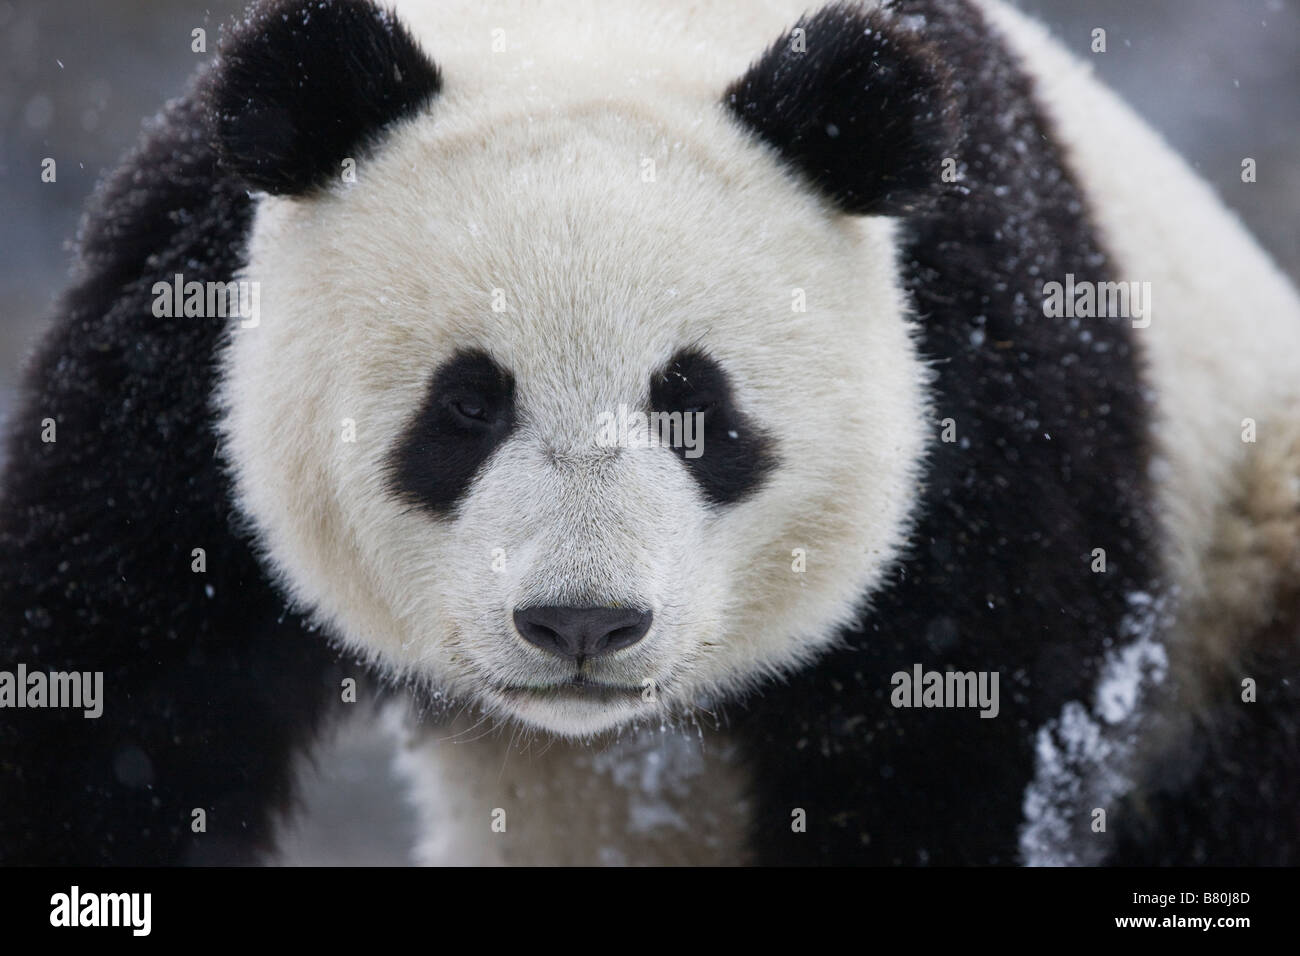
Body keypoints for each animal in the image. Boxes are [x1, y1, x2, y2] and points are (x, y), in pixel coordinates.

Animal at [2, 0, 1300, 868]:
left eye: (696, 406)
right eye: (466, 404)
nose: (582, 622)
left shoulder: (986, 372)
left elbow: (956, 736)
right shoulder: (179, 342)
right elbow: (108, 696)